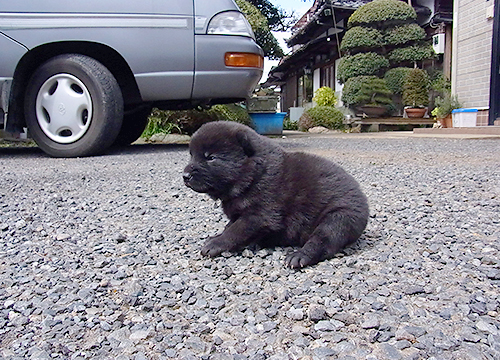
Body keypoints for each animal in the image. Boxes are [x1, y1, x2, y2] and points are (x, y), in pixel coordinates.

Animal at [183, 121, 368, 268]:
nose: (185, 176)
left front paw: (216, 243)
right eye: (191, 155)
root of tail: (361, 194)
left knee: (324, 240)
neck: (253, 176)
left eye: (210, 157)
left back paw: (299, 256)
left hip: (339, 217)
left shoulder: (259, 215)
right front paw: (216, 236)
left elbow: (236, 230)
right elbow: (230, 226)